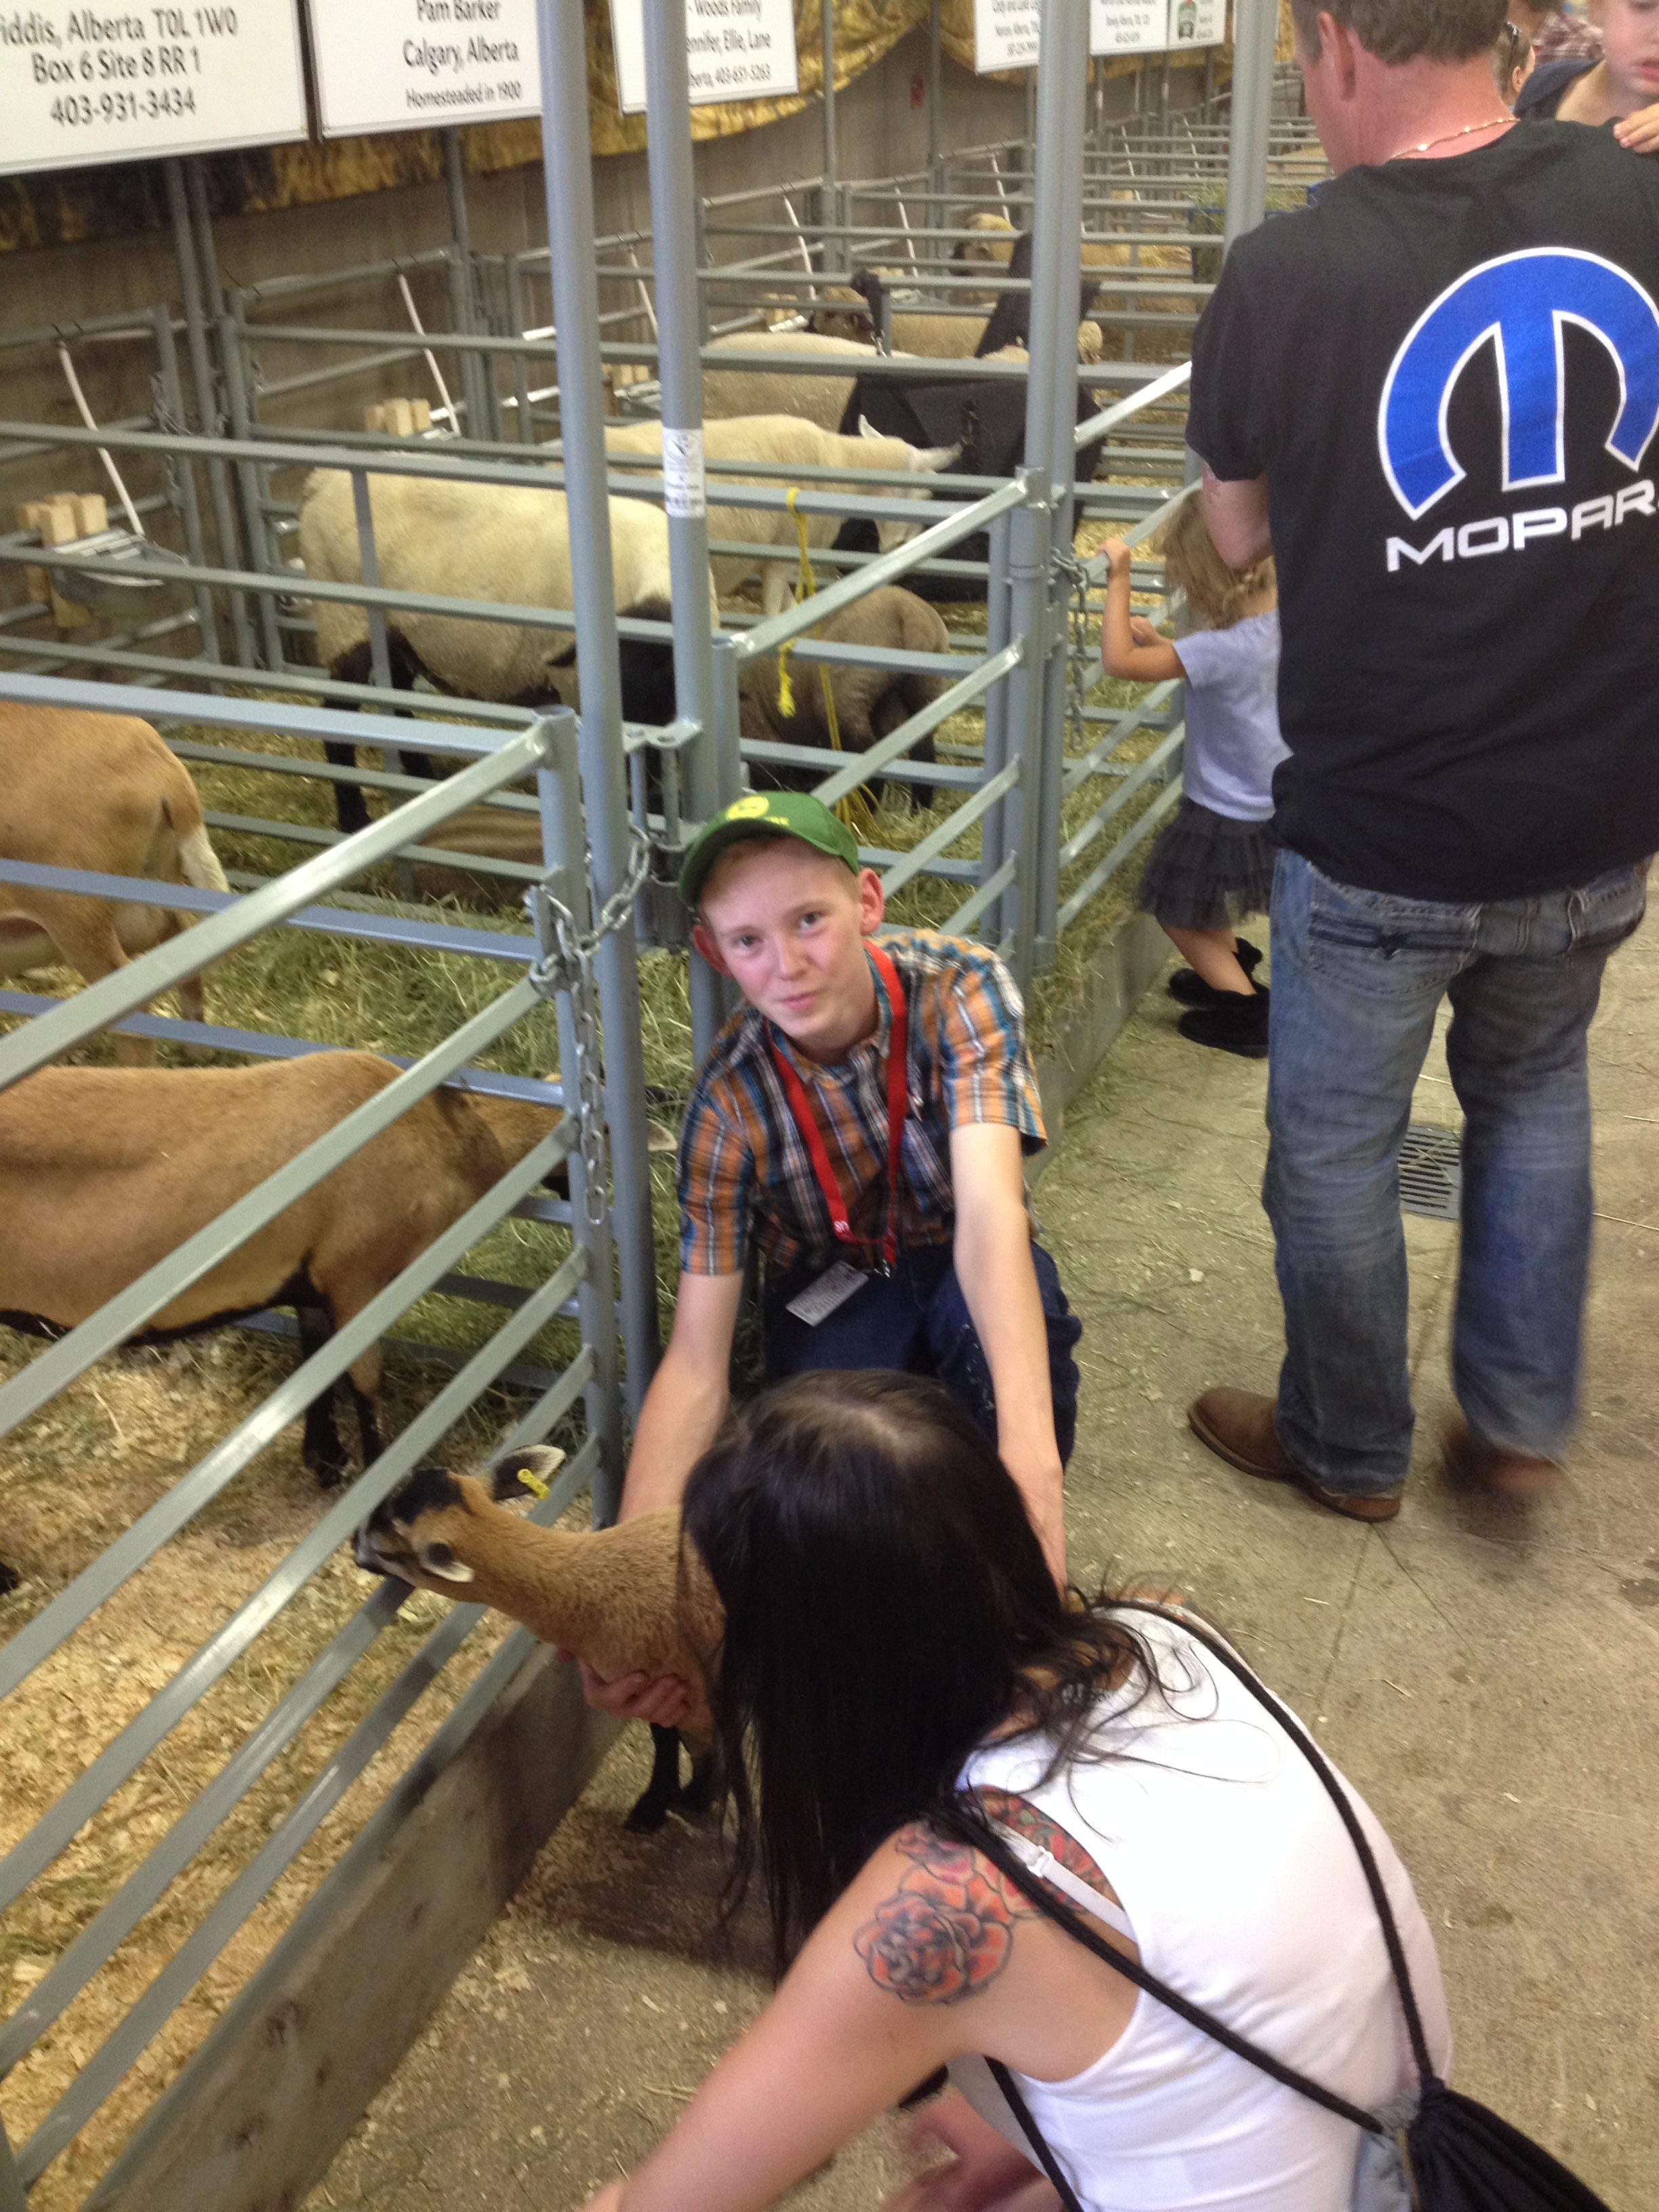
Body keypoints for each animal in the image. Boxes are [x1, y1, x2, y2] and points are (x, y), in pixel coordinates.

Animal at [0, 699, 228, 1061]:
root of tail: (159, 765)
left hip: (78, 917)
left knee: (135, 1020)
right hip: (155, 884)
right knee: (184, 945)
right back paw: (197, 1052)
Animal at [298, 471, 716, 832]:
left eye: (667, 685)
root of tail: (324, 479)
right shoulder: (573, 685)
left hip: (398, 634)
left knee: (398, 697)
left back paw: (421, 773)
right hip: (345, 621)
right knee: (337, 719)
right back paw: (353, 818)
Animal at [606, 415, 960, 619]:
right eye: (927, 496)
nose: (897, 549)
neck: (836, 461)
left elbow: (792, 611)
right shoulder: (781, 558)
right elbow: (776, 616)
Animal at [739, 583, 946, 809]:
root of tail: (907, 611)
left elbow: (771, 772)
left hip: (844, 699)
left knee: (867, 760)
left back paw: (868, 811)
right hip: (923, 689)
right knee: (923, 749)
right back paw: (919, 808)